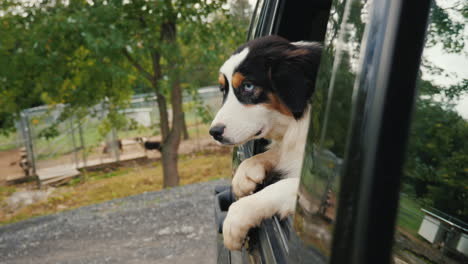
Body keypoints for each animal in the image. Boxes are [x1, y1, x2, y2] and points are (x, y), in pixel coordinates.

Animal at [209, 34, 322, 250]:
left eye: (248, 86)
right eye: (222, 89)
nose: (214, 132)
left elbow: (281, 186)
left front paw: (235, 220)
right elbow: (274, 153)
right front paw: (244, 174)